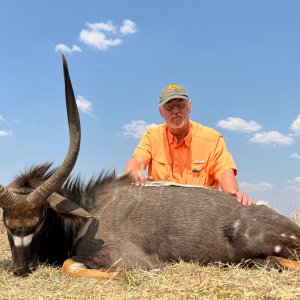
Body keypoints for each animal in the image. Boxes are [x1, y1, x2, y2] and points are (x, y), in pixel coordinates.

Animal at [0, 55, 300, 278]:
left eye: (40, 220)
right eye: (7, 223)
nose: (20, 269)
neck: (89, 210)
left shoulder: (122, 256)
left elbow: (70, 265)